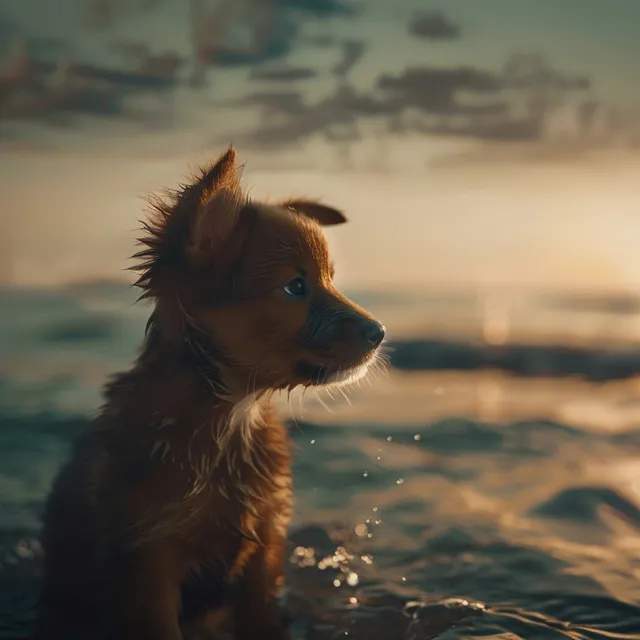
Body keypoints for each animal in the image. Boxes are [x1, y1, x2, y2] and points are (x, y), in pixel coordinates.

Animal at [33, 148, 384, 636]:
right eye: (296, 286)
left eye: (331, 279)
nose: (380, 333)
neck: (230, 418)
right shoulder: (149, 557)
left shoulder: (263, 551)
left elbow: (262, 620)